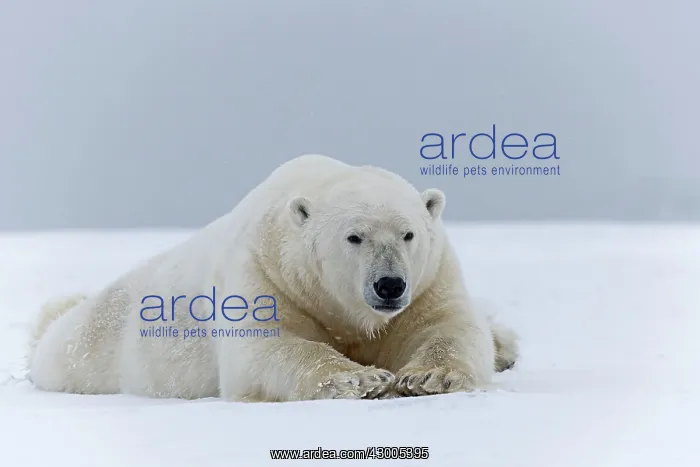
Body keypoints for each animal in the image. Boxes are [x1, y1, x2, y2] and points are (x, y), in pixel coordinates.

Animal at [28, 154, 518, 402]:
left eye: (409, 233)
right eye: (354, 236)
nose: (389, 285)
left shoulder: (431, 279)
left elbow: (445, 328)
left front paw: (425, 377)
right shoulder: (267, 275)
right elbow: (265, 350)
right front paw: (365, 380)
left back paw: (506, 346)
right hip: (92, 352)